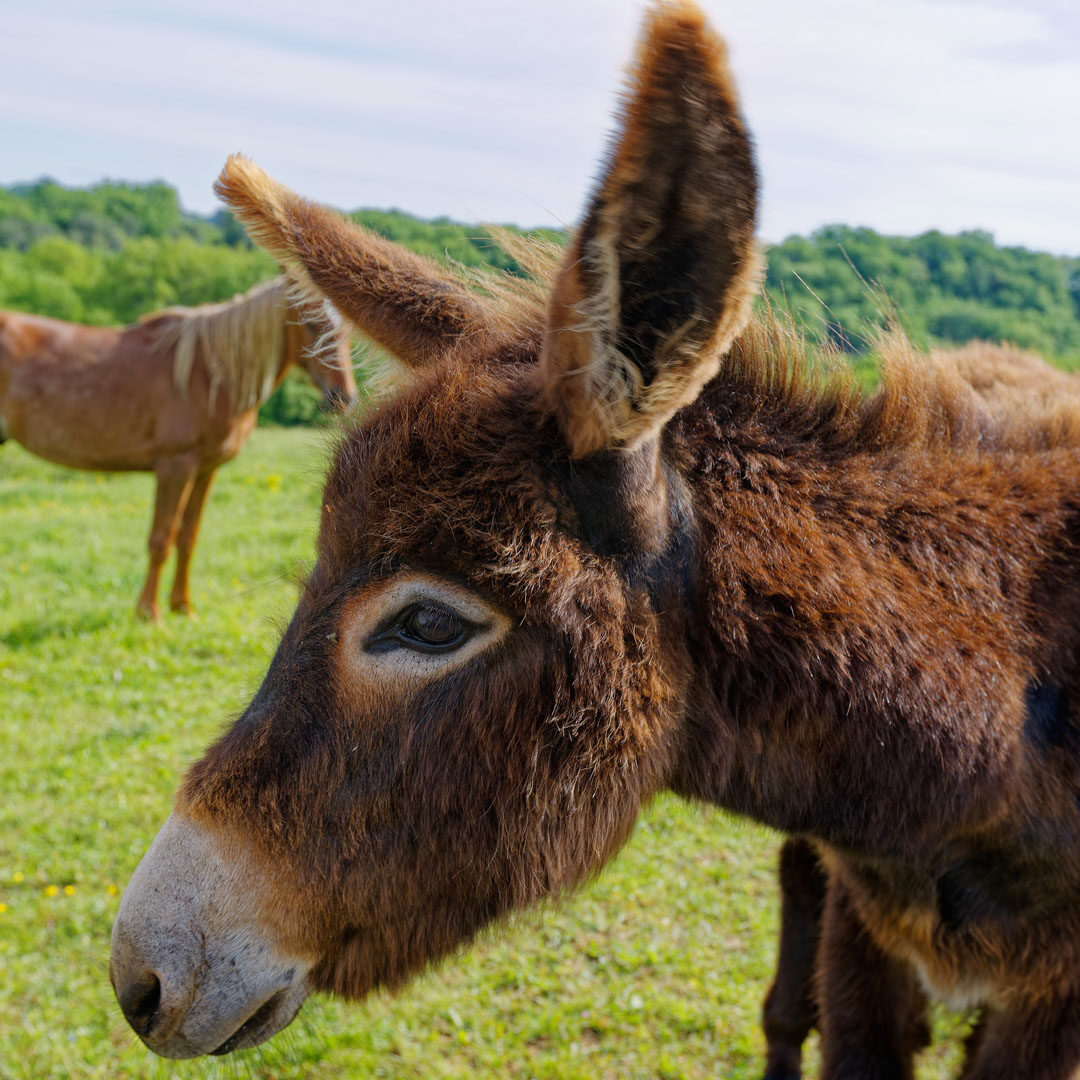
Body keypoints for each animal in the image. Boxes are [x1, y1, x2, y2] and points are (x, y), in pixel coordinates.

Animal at [0, 278, 358, 617]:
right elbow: (162, 538)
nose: (342, 397)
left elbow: (188, 536)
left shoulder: (205, 470)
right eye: (310, 325)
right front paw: (149, 611)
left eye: (347, 332)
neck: (210, 375)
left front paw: (182, 606)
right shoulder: (175, 466)